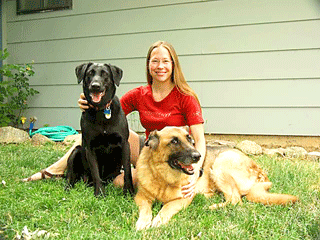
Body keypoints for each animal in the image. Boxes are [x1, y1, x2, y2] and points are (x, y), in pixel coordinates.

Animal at [66, 62, 134, 196]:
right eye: (89, 73)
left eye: (105, 74)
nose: (95, 86)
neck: (102, 111)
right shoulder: (90, 148)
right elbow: (95, 172)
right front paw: (100, 193)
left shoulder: (124, 144)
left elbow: (128, 171)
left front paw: (128, 191)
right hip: (76, 151)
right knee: (71, 177)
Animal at [134, 126, 298, 230]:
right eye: (174, 141)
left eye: (190, 140)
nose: (198, 156)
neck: (163, 178)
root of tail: (261, 174)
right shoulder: (141, 197)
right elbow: (145, 209)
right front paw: (143, 222)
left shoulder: (184, 199)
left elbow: (167, 207)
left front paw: (158, 220)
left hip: (220, 163)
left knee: (236, 200)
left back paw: (211, 207)